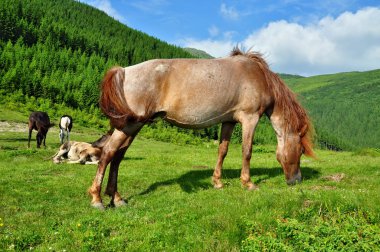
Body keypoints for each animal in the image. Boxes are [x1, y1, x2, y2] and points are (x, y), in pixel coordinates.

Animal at [88, 47, 314, 209]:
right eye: (301, 150)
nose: (297, 180)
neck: (258, 76)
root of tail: (124, 71)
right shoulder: (250, 119)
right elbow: (247, 151)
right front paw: (248, 183)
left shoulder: (229, 121)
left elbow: (222, 150)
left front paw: (217, 182)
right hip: (130, 125)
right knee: (108, 153)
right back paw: (97, 199)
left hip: (132, 126)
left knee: (117, 157)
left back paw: (117, 199)